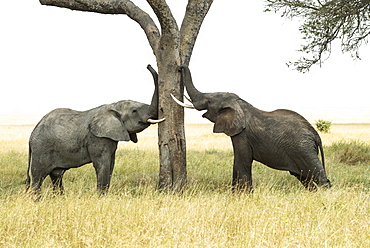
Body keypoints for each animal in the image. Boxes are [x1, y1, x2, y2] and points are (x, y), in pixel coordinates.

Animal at [26, 65, 165, 195]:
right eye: (134, 111)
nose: (148, 65)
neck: (113, 106)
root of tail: (32, 134)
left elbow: (111, 165)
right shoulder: (97, 138)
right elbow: (102, 164)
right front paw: (101, 197)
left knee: (56, 175)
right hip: (41, 149)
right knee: (38, 177)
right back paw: (36, 200)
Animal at [173, 64, 332, 192]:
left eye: (209, 101)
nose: (180, 67)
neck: (239, 103)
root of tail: (315, 134)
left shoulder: (242, 134)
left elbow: (241, 160)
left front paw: (240, 195)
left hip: (303, 149)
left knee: (317, 175)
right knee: (305, 177)